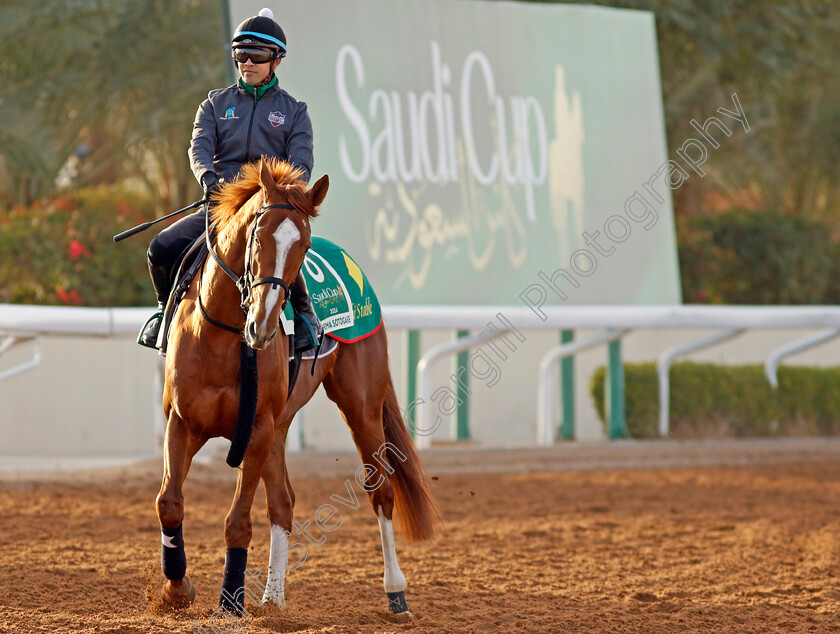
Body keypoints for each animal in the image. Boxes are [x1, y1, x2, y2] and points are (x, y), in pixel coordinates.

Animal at [156, 157, 440, 616]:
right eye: (257, 234)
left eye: (304, 247)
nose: (264, 325)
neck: (222, 334)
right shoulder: (182, 423)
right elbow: (170, 503)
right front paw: (176, 589)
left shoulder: (255, 429)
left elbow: (238, 522)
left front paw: (230, 604)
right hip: (281, 425)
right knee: (283, 503)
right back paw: (273, 599)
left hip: (360, 408)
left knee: (380, 490)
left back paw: (396, 592)